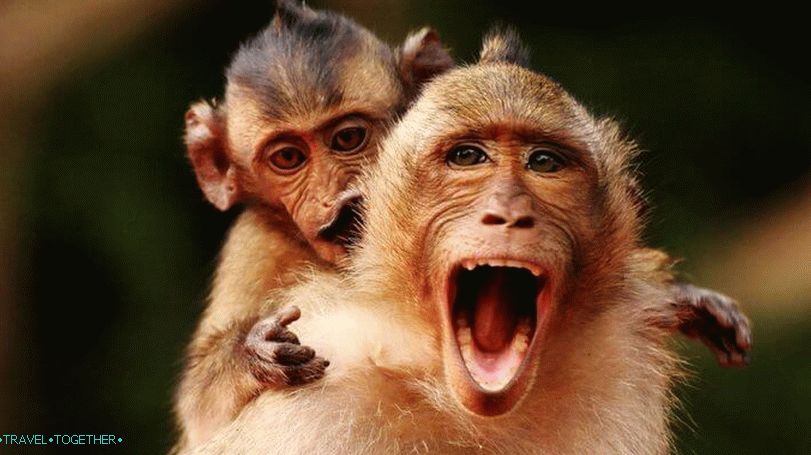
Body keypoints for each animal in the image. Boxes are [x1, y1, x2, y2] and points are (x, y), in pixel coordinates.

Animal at [174, 1, 453, 450]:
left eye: (348, 138)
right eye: (288, 158)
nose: (332, 198)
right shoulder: (253, 245)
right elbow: (199, 411)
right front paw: (253, 353)